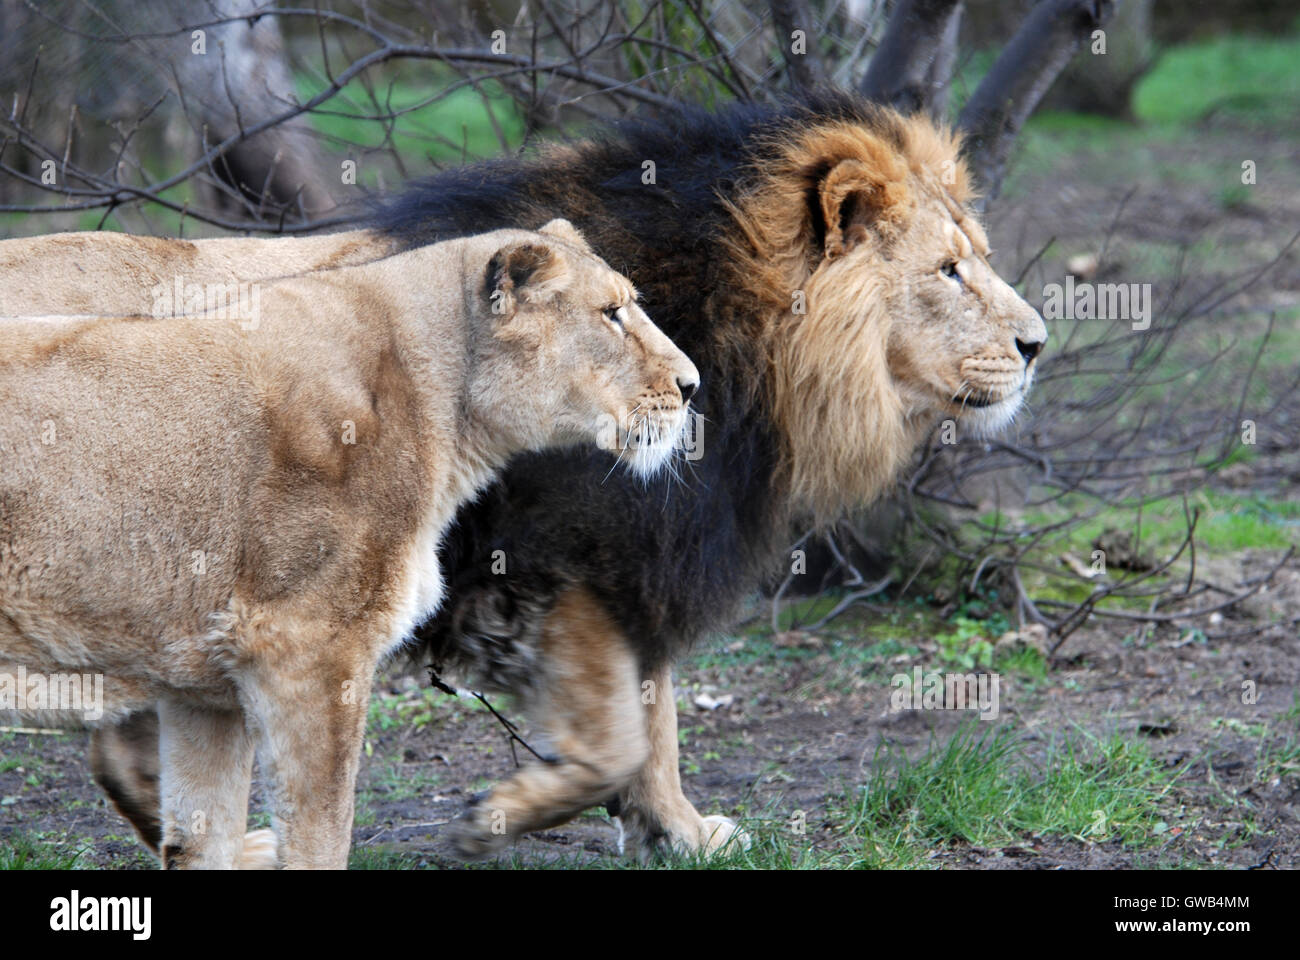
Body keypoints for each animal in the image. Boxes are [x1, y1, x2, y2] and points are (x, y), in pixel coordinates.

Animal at [0, 221, 702, 863]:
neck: (446, 407)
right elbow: (323, 832)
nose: (693, 384)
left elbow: (206, 838)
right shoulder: (306, 649)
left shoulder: (203, 689)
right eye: (611, 314)